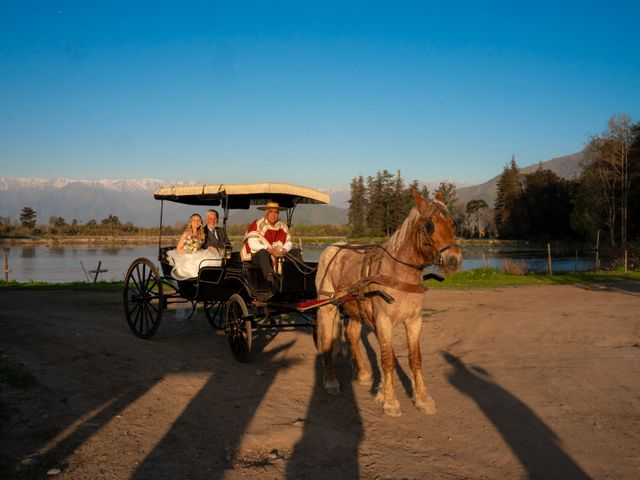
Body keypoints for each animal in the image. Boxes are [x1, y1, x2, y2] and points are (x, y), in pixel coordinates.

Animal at [314, 189, 460, 414]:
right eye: (430, 224)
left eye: (452, 223)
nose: (455, 259)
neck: (398, 274)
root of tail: (331, 248)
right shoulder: (383, 321)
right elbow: (387, 359)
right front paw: (390, 401)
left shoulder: (414, 321)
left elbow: (415, 359)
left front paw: (422, 399)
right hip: (327, 307)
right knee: (326, 340)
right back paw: (331, 381)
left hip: (355, 307)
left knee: (352, 335)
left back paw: (363, 373)